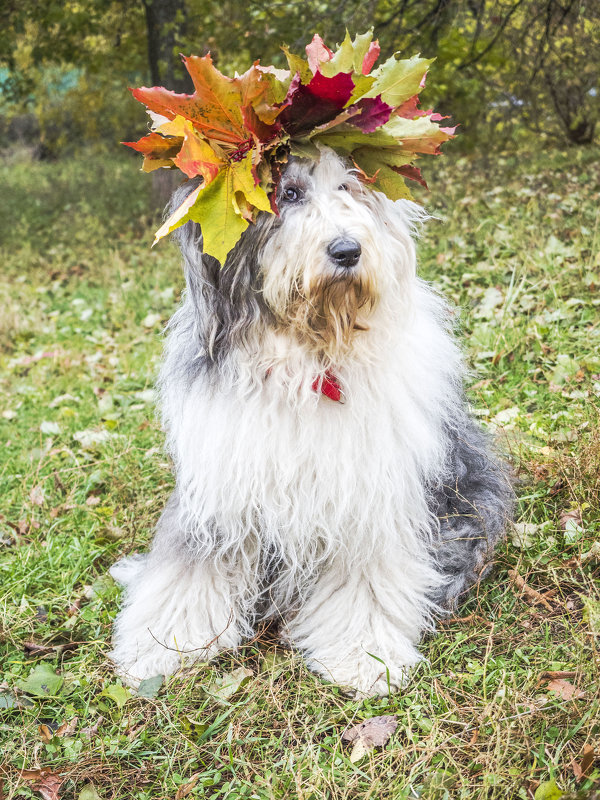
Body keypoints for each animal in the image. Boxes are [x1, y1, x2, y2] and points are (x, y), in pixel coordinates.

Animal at [109, 148, 510, 692]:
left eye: (348, 186)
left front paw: (363, 656)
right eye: (289, 193)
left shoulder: (368, 499)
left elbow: (366, 581)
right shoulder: (219, 491)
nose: (347, 250)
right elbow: (189, 570)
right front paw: (162, 646)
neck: (309, 362)